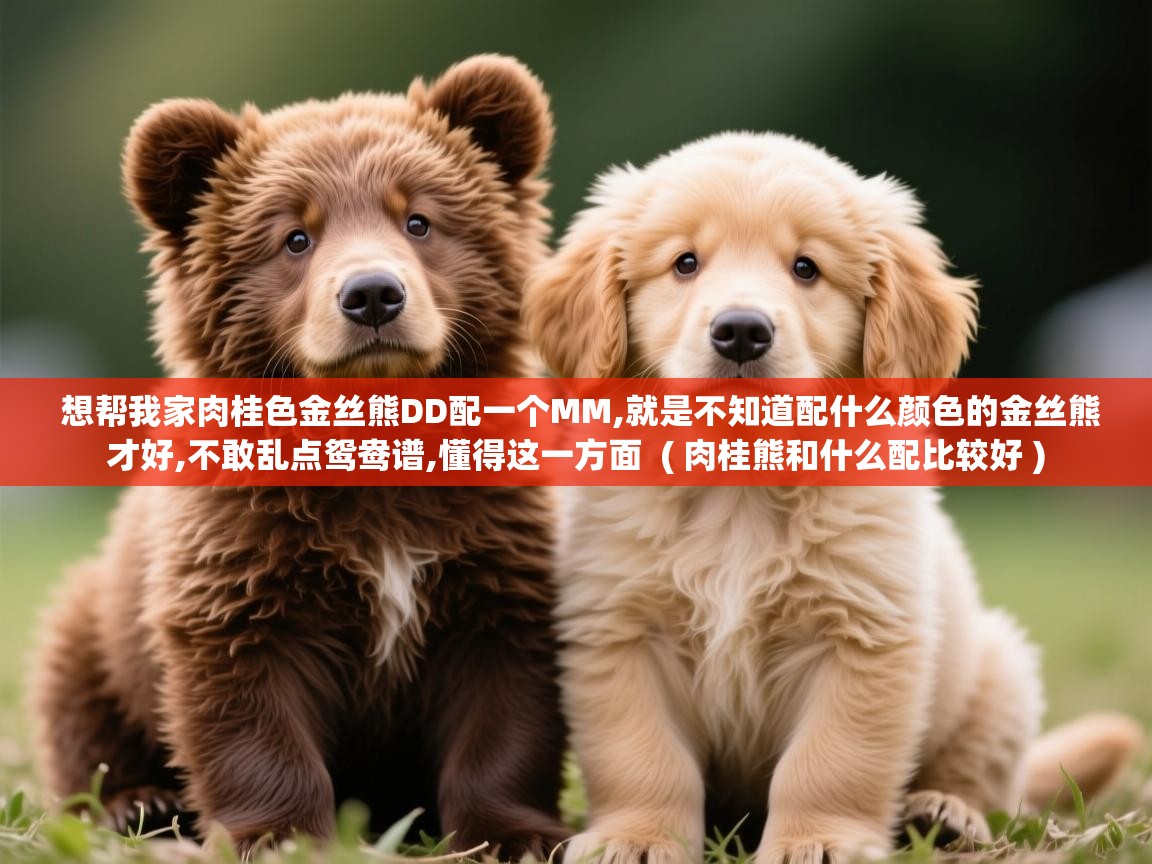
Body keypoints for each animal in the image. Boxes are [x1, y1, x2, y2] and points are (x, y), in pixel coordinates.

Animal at [30, 54, 569, 858]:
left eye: (419, 220)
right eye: (294, 237)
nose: (373, 294)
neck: (372, 436)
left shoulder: (493, 556)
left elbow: (503, 707)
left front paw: (514, 834)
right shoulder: (242, 560)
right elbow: (250, 706)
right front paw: (279, 834)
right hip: (98, 616)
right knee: (76, 695)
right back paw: (136, 802)